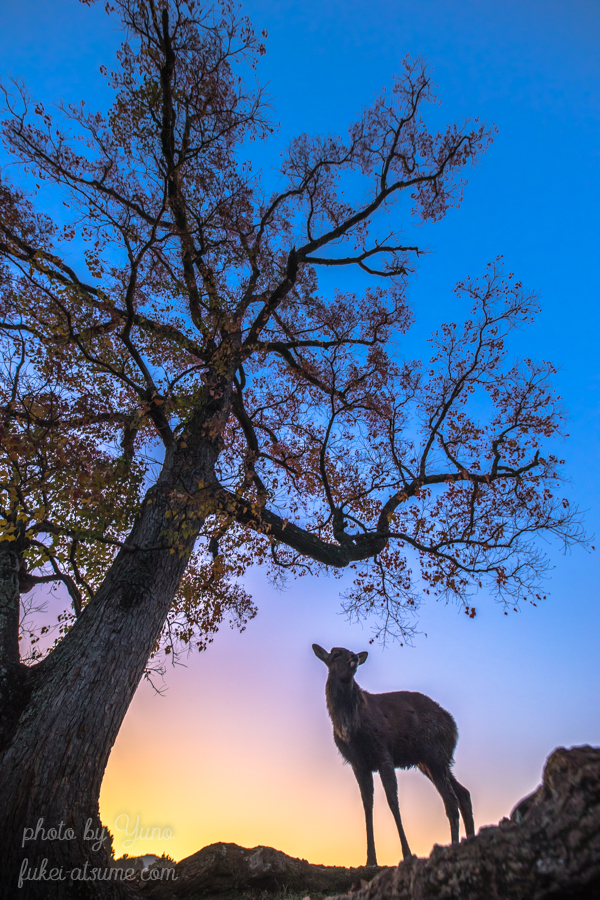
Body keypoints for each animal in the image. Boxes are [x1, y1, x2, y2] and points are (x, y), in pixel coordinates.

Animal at [314, 644, 474, 860]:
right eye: (336, 654)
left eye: (351, 651)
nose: (354, 656)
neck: (350, 727)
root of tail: (454, 726)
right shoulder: (358, 763)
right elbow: (367, 805)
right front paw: (370, 859)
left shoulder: (383, 752)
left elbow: (392, 800)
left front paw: (407, 853)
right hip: (430, 761)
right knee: (463, 793)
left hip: (434, 753)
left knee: (450, 800)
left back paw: (454, 845)